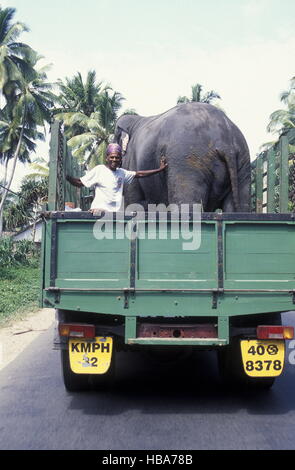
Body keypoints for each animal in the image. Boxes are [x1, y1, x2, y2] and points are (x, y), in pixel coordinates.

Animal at [115, 104, 252, 213]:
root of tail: (226, 142)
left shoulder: (132, 161)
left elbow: (133, 201)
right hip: (243, 162)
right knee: (238, 205)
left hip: (188, 162)